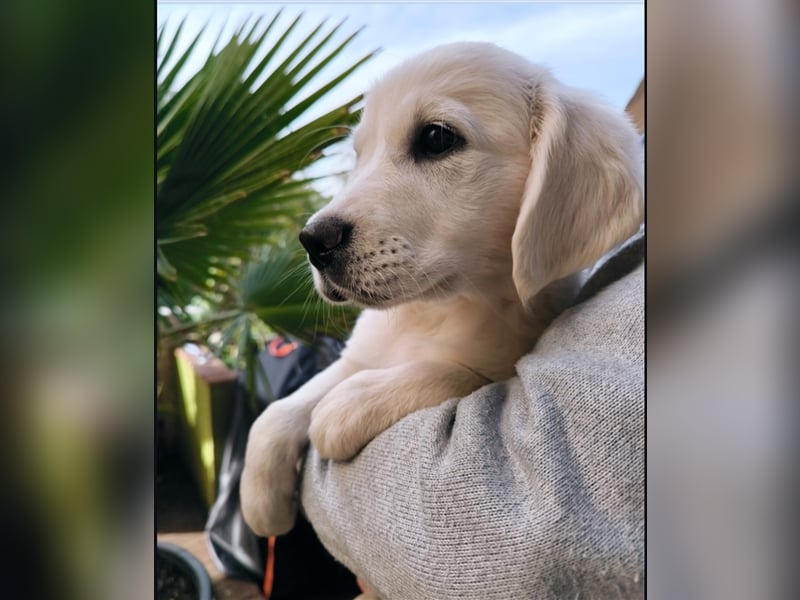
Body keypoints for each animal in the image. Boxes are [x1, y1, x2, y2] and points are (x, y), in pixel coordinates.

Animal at [239, 42, 644, 540]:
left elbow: (456, 369)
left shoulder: (500, 362)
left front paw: (349, 404)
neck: (433, 309)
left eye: (436, 139)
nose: (313, 241)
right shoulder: (358, 355)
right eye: (359, 156)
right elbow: (281, 409)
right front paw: (261, 503)